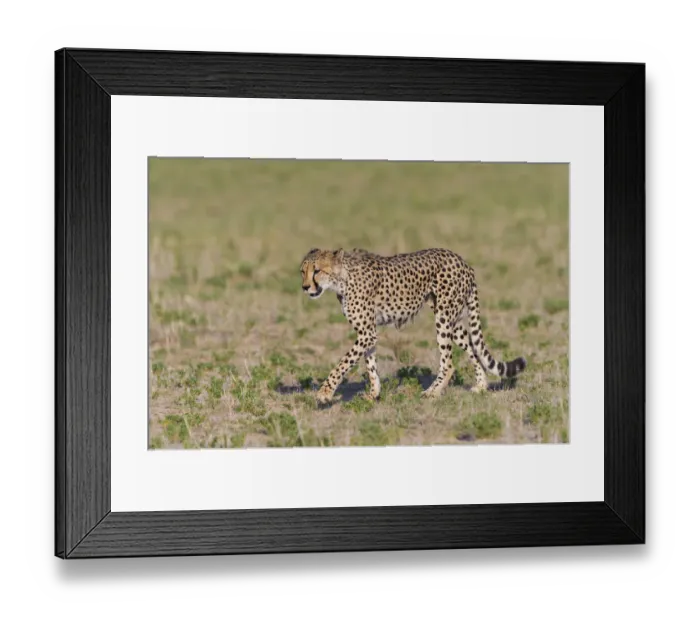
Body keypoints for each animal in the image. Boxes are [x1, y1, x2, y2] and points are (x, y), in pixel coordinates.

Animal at [299, 247, 526, 405]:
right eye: (302, 271)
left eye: (316, 271)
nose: (305, 287)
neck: (342, 278)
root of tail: (462, 261)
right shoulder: (368, 333)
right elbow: (370, 365)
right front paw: (374, 394)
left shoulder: (366, 333)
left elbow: (342, 364)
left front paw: (324, 393)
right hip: (453, 321)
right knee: (473, 350)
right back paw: (480, 386)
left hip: (444, 318)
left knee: (448, 363)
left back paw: (432, 392)